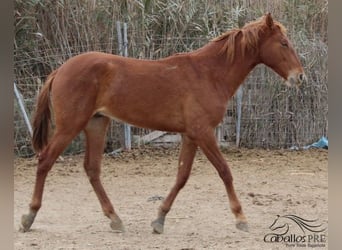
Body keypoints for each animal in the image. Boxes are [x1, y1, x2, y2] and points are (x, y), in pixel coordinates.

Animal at [20, 12, 304, 233]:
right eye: (283, 43)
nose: (299, 77)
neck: (209, 73)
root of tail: (60, 70)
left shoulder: (190, 135)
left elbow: (182, 176)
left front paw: (159, 219)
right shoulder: (203, 133)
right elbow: (224, 171)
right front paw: (241, 218)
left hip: (96, 124)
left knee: (92, 169)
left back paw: (115, 219)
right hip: (70, 126)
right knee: (45, 161)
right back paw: (29, 217)